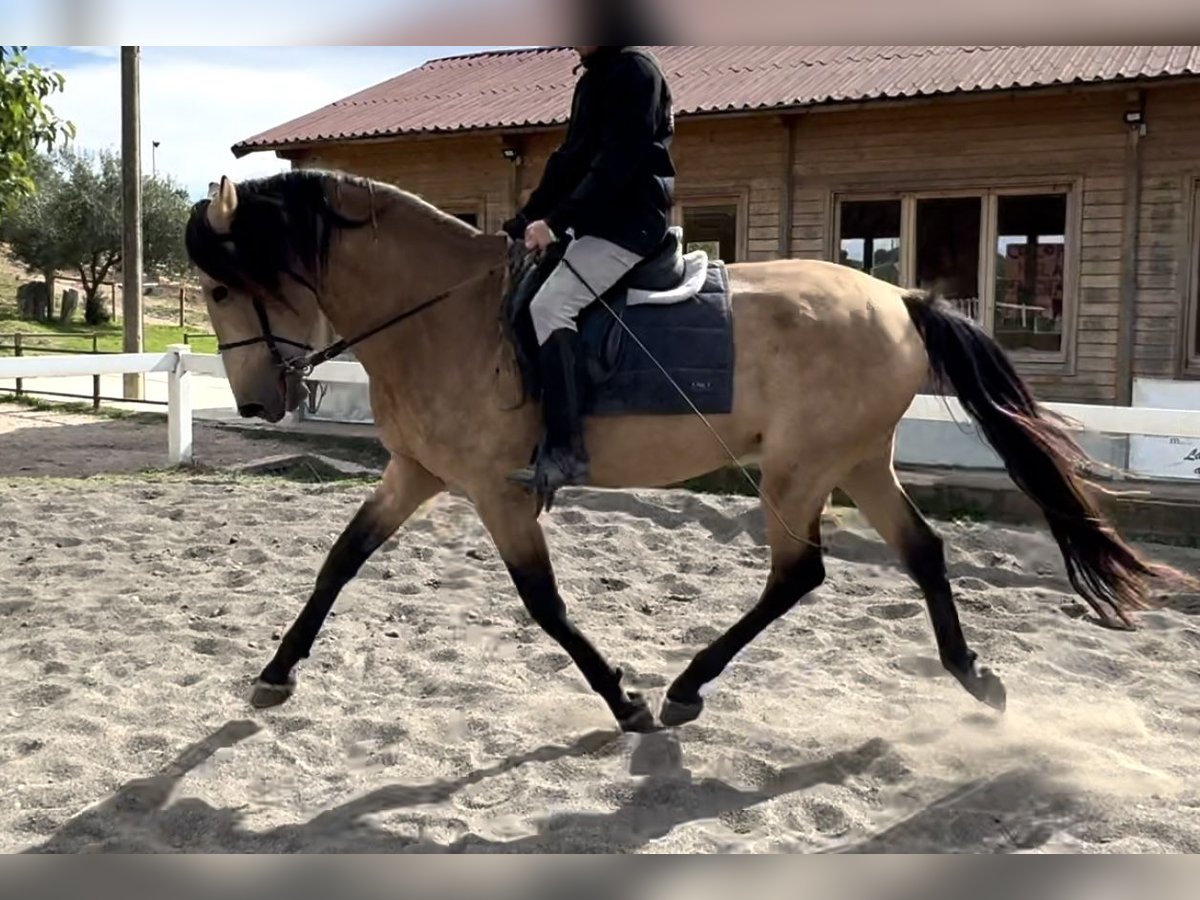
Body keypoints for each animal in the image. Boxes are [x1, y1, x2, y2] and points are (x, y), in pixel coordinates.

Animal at [182, 170, 1185, 739]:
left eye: (223, 287)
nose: (257, 402)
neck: (441, 314)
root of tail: (900, 300)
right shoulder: (417, 474)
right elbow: (340, 560)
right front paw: (274, 675)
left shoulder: (498, 493)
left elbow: (544, 605)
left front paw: (622, 701)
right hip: (857, 462)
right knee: (923, 554)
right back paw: (973, 678)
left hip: (797, 472)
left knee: (800, 573)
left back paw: (685, 689)